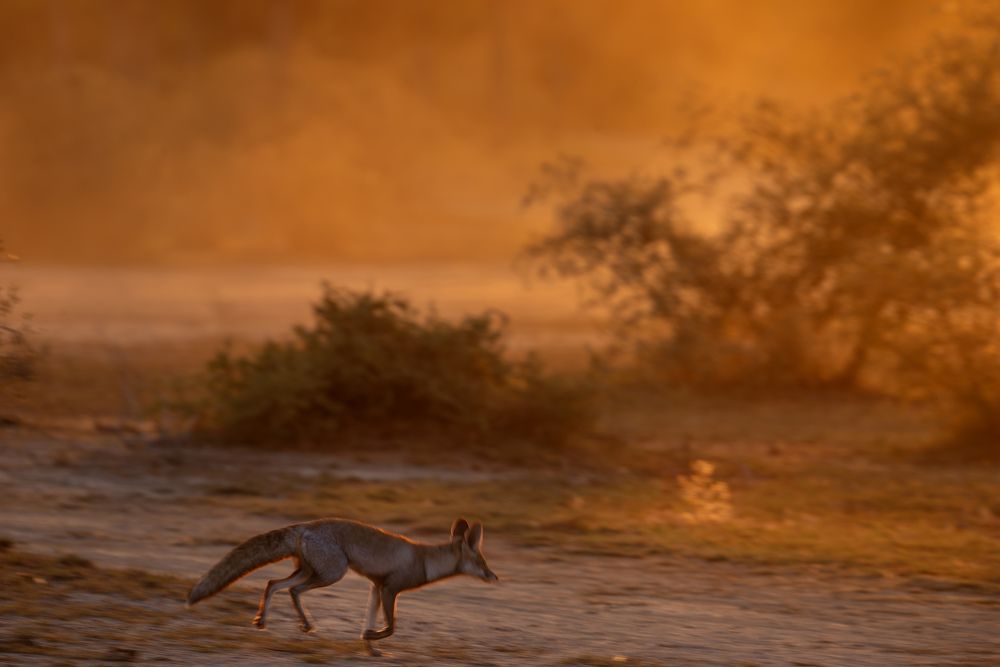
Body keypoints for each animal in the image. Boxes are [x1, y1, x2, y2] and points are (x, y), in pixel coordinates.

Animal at [186, 517, 498, 655]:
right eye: (482, 563)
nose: (495, 577)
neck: (424, 560)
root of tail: (306, 525)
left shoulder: (375, 588)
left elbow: (367, 622)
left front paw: (370, 649)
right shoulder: (389, 589)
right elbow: (390, 627)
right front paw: (372, 640)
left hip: (310, 571)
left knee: (273, 583)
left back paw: (265, 620)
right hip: (332, 574)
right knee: (291, 589)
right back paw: (305, 625)